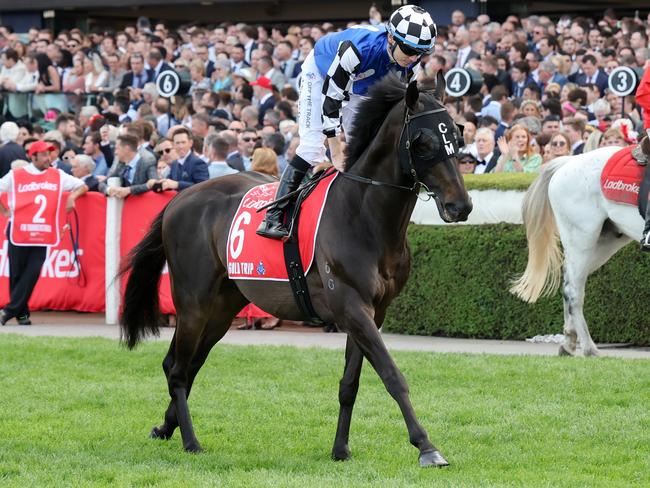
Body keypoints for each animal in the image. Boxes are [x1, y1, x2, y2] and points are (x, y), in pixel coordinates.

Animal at [119, 70, 468, 468]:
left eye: (457, 136)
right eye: (424, 142)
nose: (461, 205)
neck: (365, 215)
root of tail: (179, 198)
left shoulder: (372, 311)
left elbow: (350, 384)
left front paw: (340, 449)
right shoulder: (350, 305)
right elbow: (392, 375)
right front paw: (426, 446)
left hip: (224, 305)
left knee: (184, 363)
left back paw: (165, 427)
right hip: (193, 300)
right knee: (177, 369)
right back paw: (191, 442)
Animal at [512, 143, 644, 356]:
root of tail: (569, 161)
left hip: (601, 244)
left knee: (569, 280)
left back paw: (569, 341)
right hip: (581, 239)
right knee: (573, 291)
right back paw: (589, 348)